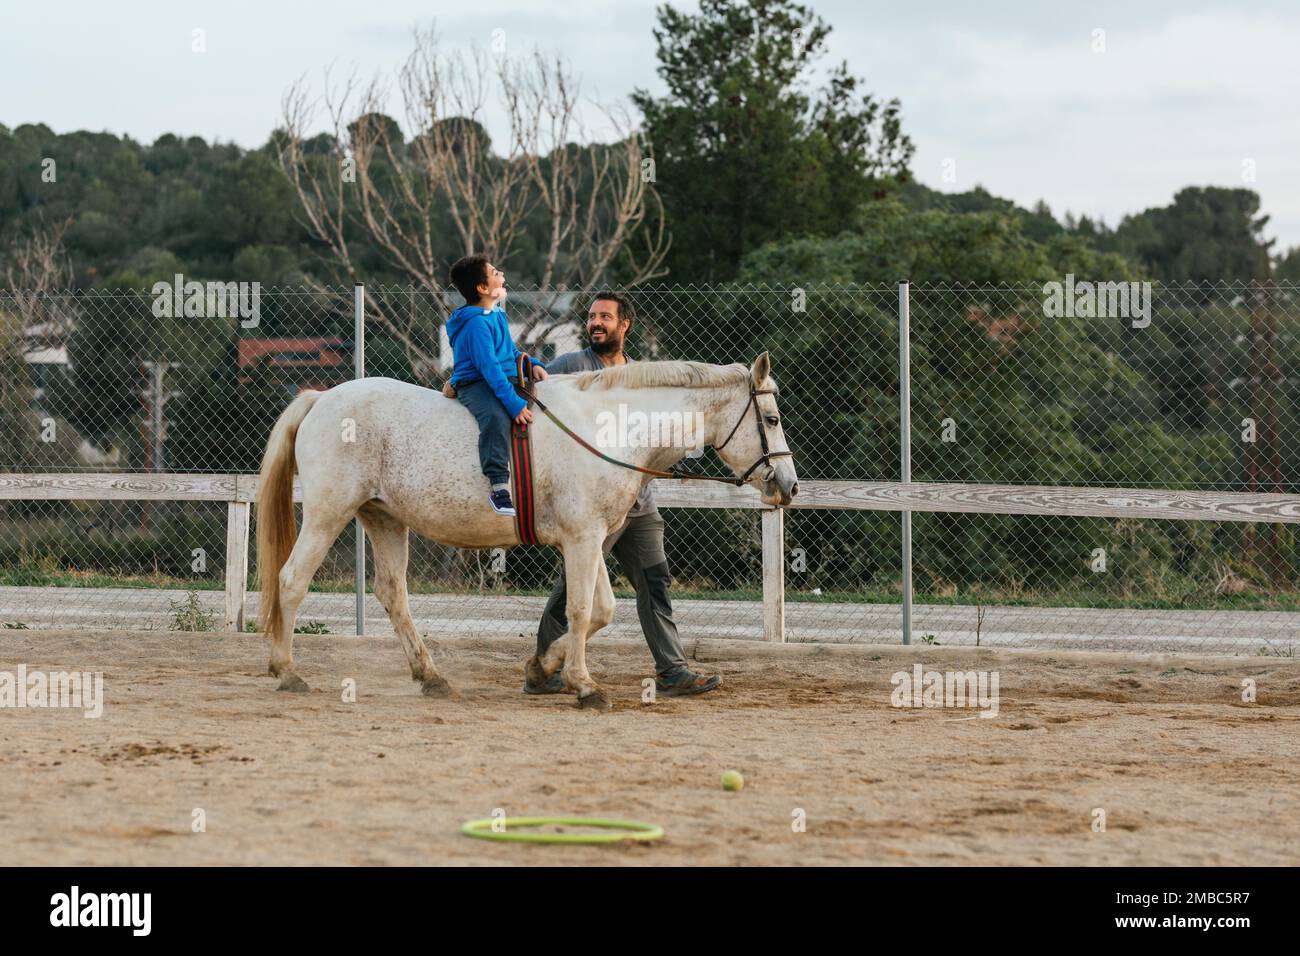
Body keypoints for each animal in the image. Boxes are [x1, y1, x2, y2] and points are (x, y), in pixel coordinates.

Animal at [254, 353, 795, 712]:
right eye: (771, 418)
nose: (788, 486)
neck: (607, 429)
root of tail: (321, 398)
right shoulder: (582, 539)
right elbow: (580, 610)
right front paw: (583, 684)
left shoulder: (591, 538)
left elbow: (601, 610)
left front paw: (545, 667)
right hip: (328, 514)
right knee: (291, 581)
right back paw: (286, 671)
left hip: (383, 518)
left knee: (393, 595)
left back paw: (431, 677)